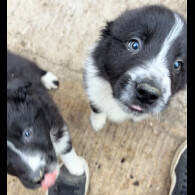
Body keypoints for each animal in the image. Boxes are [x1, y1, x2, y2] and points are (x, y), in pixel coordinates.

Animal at [7, 51, 87, 190]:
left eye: (27, 133)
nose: (38, 177)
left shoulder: (54, 118)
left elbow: (65, 146)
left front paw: (76, 168)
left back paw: (49, 79)